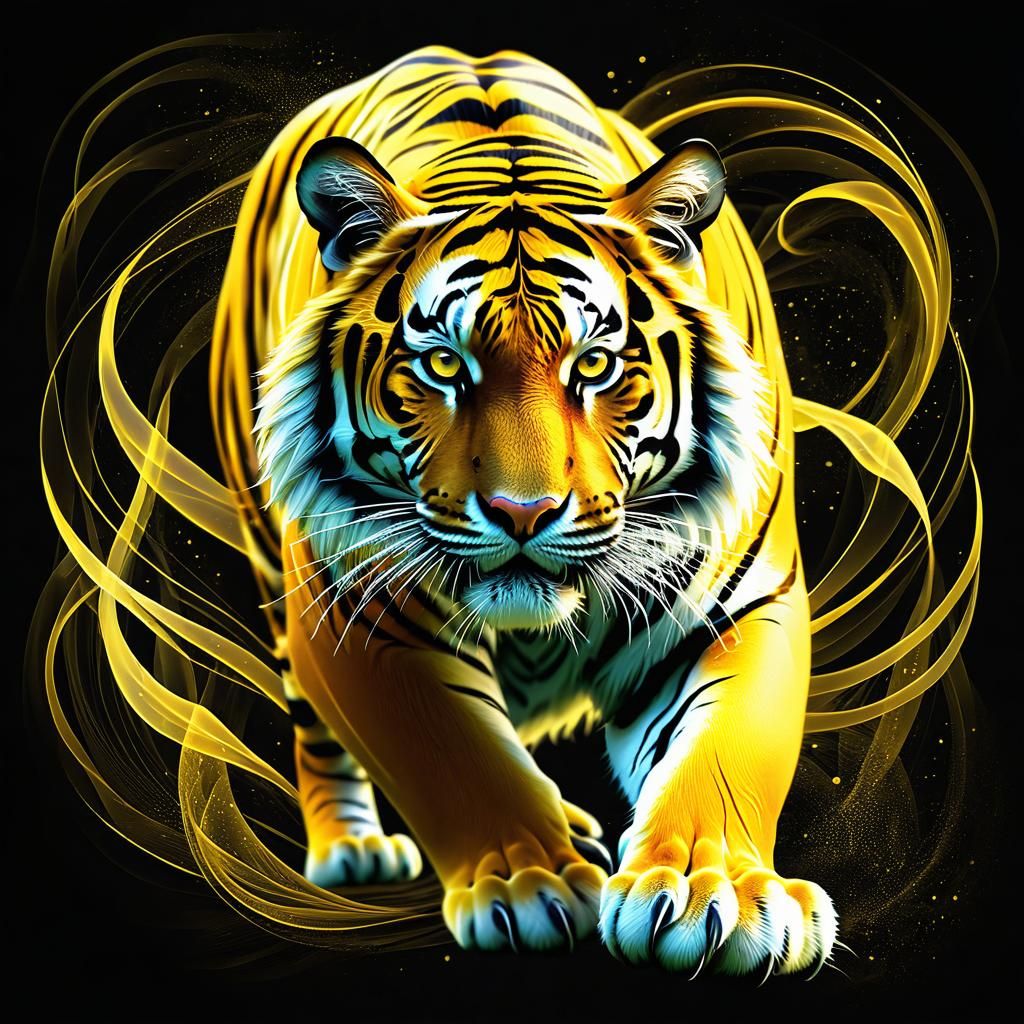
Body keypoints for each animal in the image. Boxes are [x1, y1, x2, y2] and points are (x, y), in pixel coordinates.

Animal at [213, 43, 837, 975]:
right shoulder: (361, 611)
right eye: (442, 365)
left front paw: (712, 888)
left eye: (595, 365)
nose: (521, 511)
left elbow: (723, 755)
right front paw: (528, 880)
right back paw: (357, 850)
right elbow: (459, 757)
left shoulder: (738, 603)